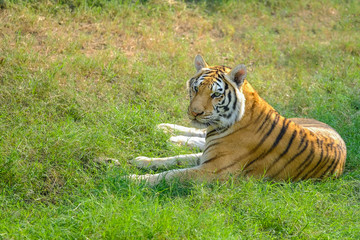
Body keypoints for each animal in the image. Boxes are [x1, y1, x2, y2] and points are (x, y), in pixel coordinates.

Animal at [129, 54, 346, 186]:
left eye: (215, 95)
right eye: (196, 88)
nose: (195, 112)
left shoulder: (213, 170)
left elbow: (172, 173)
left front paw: (132, 178)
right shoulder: (209, 158)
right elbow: (175, 159)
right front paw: (142, 160)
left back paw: (172, 138)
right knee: (198, 134)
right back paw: (166, 130)